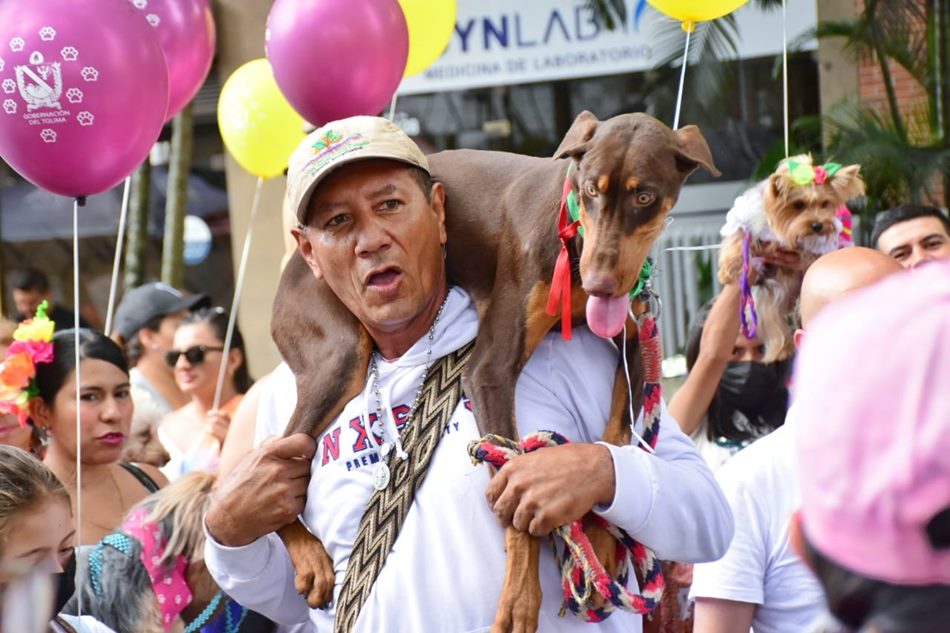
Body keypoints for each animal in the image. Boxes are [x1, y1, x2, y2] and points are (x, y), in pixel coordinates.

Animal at [717, 155, 864, 361]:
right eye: (799, 205)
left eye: (825, 203)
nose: (818, 225)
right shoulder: (747, 219)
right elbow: (738, 237)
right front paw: (728, 271)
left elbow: (813, 254)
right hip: (770, 291)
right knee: (771, 318)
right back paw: (782, 349)